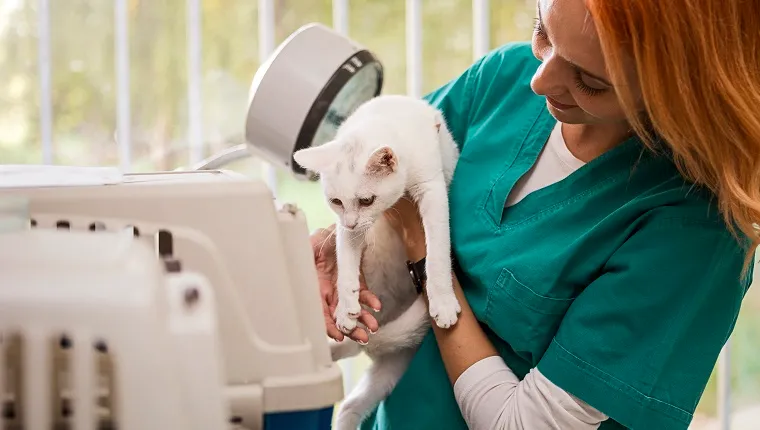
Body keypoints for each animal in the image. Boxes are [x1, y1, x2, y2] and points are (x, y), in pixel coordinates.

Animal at [292, 95, 460, 430]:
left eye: (367, 200)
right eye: (336, 201)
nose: (352, 223)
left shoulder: (432, 189)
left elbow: (436, 253)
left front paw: (443, 300)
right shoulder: (347, 228)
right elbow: (345, 264)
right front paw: (346, 305)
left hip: (393, 365)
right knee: (349, 387)